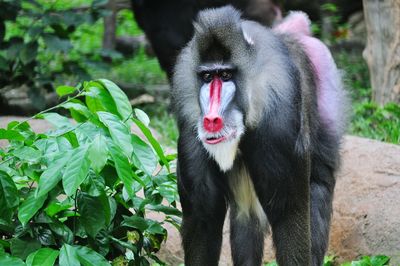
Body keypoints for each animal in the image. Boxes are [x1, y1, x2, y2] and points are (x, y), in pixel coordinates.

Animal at [172, 6, 346, 266]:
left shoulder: (279, 129)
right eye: (207, 77)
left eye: (226, 75)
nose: (211, 120)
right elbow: (203, 218)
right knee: (246, 215)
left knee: (319, 186)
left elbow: (290, 213)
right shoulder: (190, 129)